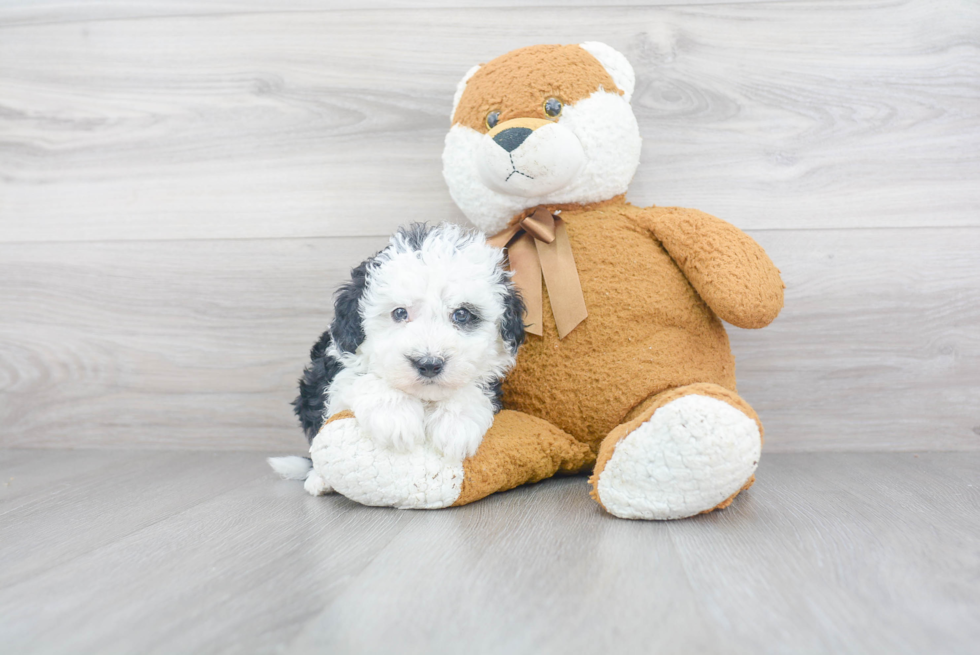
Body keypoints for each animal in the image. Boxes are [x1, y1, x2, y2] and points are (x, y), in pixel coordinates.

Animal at [272, 226, 524, 486]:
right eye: (400, 312)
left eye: (462, 314)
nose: (429, 364)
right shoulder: (333, 371)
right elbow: (360, 378)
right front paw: (395, 416)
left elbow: (472, 389)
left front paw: (455, 423)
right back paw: (317, 480)